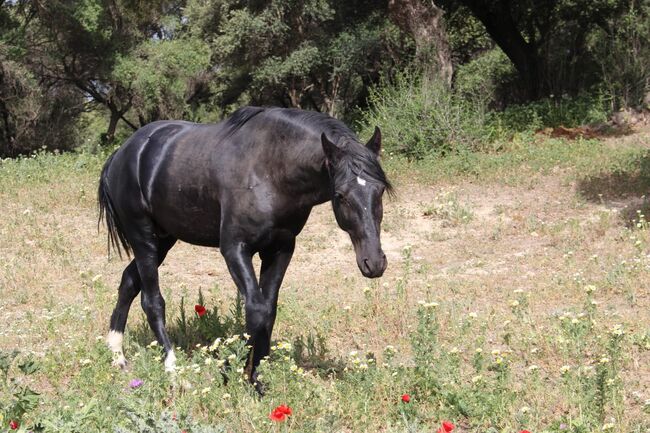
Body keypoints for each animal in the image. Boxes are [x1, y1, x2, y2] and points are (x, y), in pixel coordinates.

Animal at [97, 106, 390, 386]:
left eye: (380, 190)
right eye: (340, 195)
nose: (374, 263)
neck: (270, 169)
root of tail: (121, 154)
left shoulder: (280, 249)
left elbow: (268, 310)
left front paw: (256, 376)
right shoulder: (235, 248)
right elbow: (256, 310)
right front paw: (237, 371)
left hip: (164, 240)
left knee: (128, 282)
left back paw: (117, 356)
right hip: (143, 238)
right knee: (152, 301)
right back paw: (173, 370)